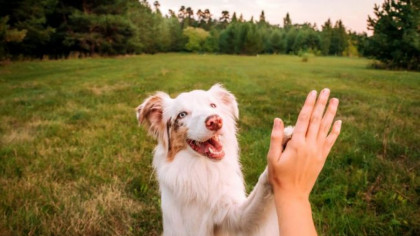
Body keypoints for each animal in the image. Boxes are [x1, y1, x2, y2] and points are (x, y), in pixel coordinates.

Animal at [135, 85, 292, 236]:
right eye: (182, 114)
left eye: (213, 105)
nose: (215, 121)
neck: (204, 168)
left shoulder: (233, 215)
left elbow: (260, 191)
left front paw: (284, 139)